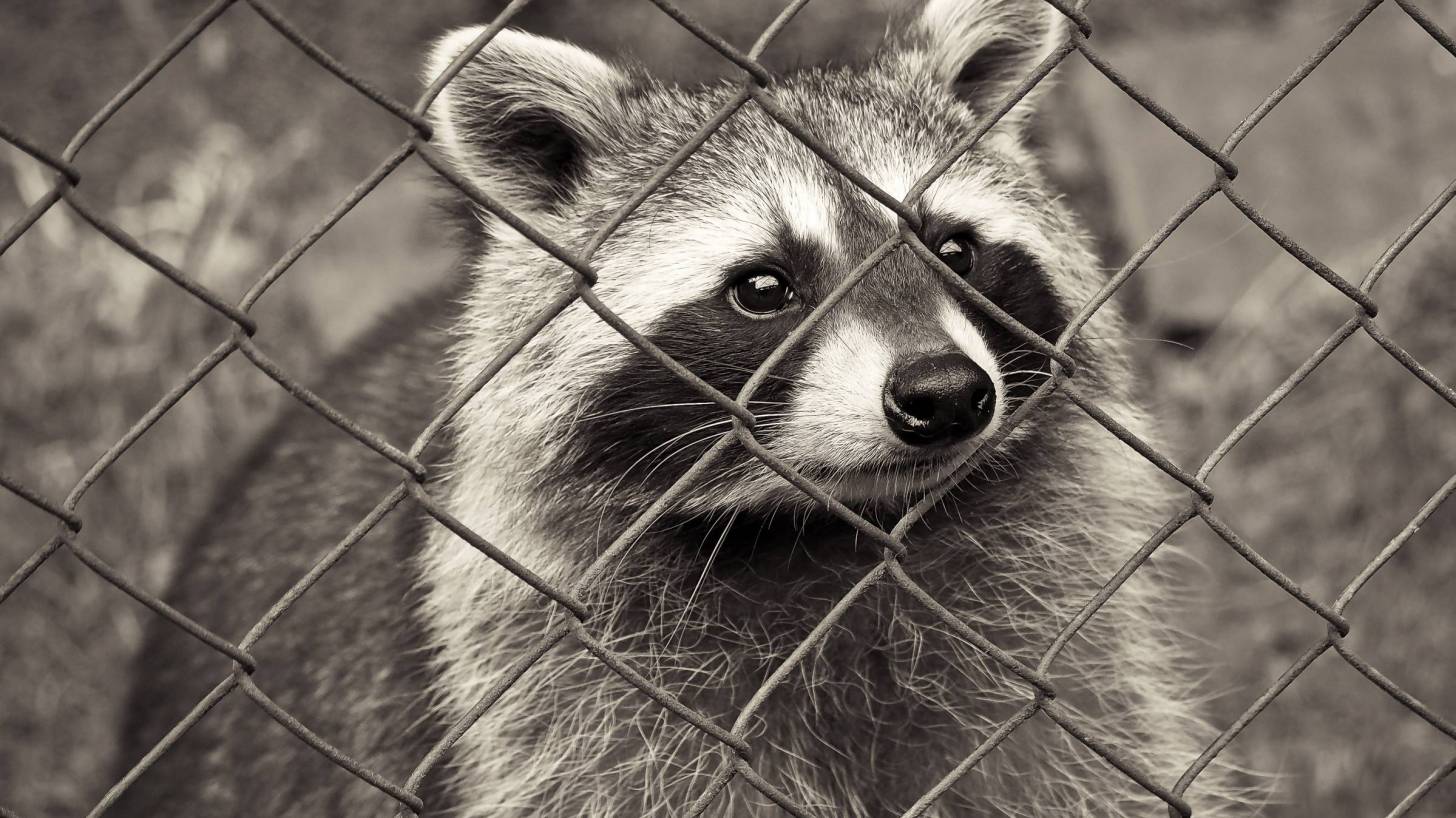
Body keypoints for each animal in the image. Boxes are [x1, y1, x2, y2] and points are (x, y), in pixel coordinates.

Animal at [110, 1, 1240, 815]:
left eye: (955, 249)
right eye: (763, 287)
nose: (945, 395)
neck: (830, 529)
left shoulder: (1047, 637)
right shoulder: (566, 687)